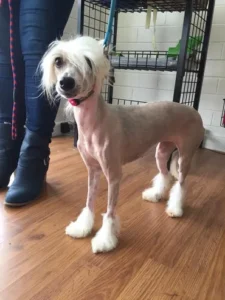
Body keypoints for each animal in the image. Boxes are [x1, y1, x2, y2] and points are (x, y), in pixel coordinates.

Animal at [39, 36, 205, 254]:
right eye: (58, 61)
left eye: (88, 61)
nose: (66, 82)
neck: (95, 122)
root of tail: (194, 111)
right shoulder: (93, 171)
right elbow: (89, 203)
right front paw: (82, 227)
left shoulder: (114, 176)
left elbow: (109, 212)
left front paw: (105, 240)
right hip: (162, 151)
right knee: (164, 175)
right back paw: (155, 195)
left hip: (184, 156)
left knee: (181, 183)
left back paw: (175, 209)